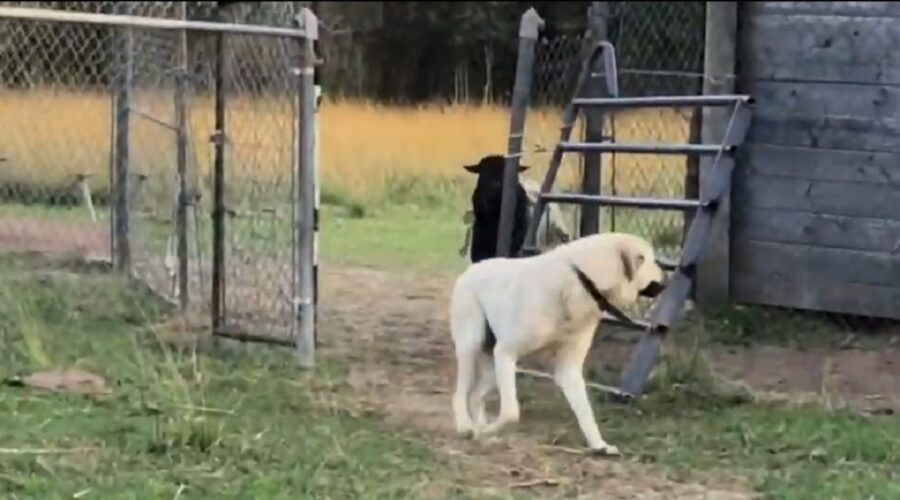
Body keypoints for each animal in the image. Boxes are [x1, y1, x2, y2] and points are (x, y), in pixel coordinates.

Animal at [446, 232, 664, 456]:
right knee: (460, 393)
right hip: (472, 347)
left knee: (475, 396)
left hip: (493, 366)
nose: (665, 283)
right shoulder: (506, 353)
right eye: (646, 259)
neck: (581, 279)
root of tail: (473, 268)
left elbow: (586, 413)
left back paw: (482, 433)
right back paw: (466, 427)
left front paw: (599, 445)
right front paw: (483, 430)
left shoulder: (567, 370)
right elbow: (511, 413)